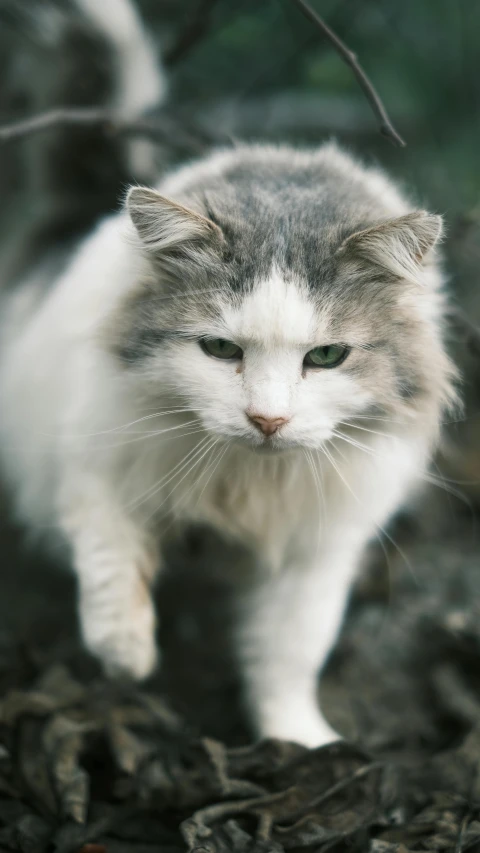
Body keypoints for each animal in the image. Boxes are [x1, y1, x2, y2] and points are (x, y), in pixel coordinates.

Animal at [0, 0, 458, 744]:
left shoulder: (317, 551)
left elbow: (289, 655)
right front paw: (126, 654)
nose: (267, 420)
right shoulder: (97, 462)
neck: (246, 484)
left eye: (325, 357)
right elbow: (110, 560)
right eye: (219, 349)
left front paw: (297, 740)